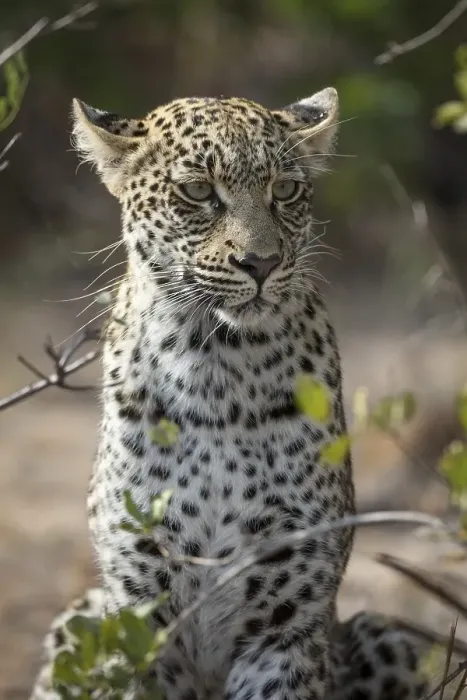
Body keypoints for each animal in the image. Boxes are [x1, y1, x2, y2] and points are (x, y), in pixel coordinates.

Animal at [29, 87, 426, 700]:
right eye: (198, 192)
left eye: (284, 190)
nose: (260, 263)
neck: (214, 365)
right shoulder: (141, 619)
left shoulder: (285, 629)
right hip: (79, 621)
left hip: (390, 637)